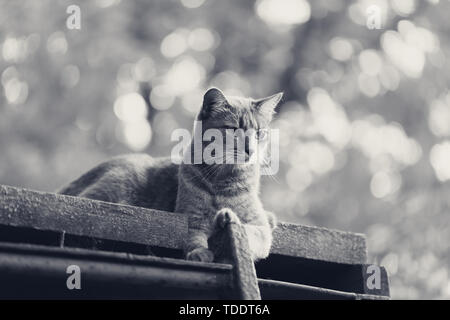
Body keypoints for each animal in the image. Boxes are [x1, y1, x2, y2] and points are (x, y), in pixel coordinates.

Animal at [58, 87, 284, 262]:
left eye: (259, 133)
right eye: (233, 129)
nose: (250, 150)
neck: (222, 181)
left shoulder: (260, 227)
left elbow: (251, 233)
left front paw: (229, 218)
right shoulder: (192, 217)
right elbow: (193, 237)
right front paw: (199, 252)